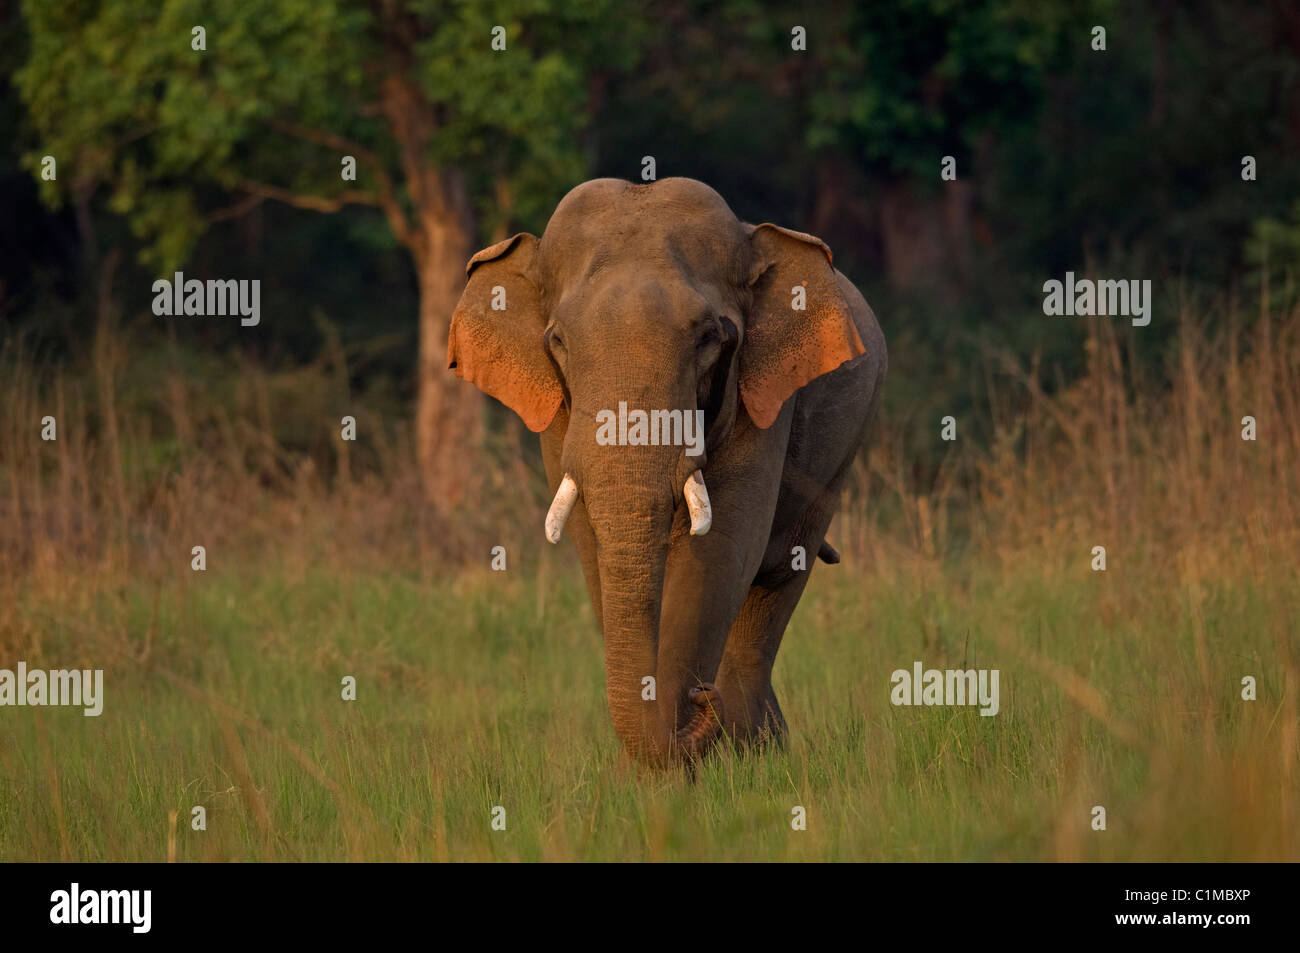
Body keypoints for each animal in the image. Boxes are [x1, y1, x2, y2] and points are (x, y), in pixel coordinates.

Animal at [447, 178, 883, 769]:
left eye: (710, 338)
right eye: (558, 341)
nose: (702, 697)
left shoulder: (761, 398)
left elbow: (722, 549)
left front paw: (693, 757)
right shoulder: (559, 417)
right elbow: (590, 544)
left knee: (777, 577)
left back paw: (754, 748)